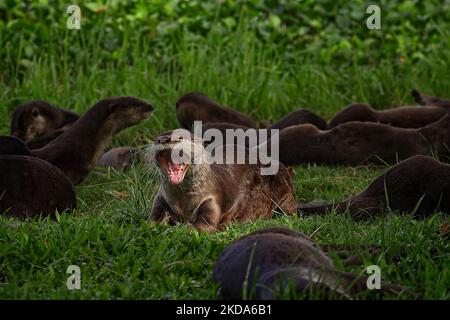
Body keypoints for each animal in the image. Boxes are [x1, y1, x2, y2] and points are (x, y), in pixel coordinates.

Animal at [148, 130, 298, 232]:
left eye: (180, 137)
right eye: (157, 139)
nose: (163, 139)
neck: (184, 204)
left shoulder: (212, 199)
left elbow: (203, 226)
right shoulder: (160, 199)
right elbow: (152, 221)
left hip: (284, 194)